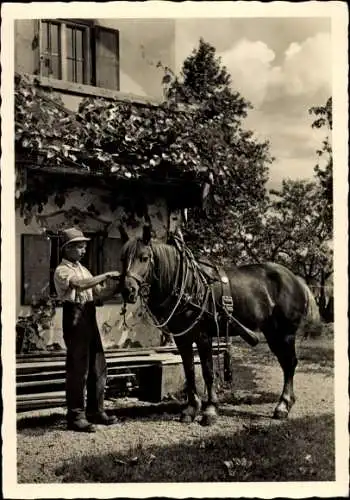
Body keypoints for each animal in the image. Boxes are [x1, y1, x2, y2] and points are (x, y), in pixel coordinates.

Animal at [119, 227, 320, 426]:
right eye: (122, 258)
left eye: (144, 257)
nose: (128, 290)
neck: (188, 285)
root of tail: (297, 280)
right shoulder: (182, 339)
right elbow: (189, 372)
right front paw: (191, 409)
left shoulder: (203, 336)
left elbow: (208, 372)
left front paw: (210, 410)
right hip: (272, 333)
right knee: (286, 364)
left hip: (285, 334)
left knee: (289, 364)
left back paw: (283, 406)